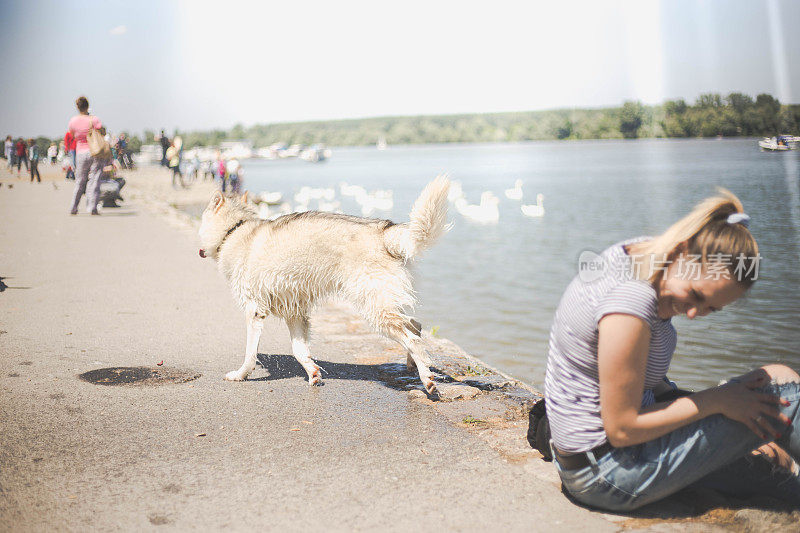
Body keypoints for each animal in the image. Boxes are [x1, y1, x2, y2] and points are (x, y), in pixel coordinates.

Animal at [198, 177, 450, 396]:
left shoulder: (254, 311)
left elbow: (250, 354)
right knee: (415, 325)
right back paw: (414, 365)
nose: (199, 247)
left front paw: (241, 375)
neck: (235, 229)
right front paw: (313, 373)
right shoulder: (295, 313)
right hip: (383, 304)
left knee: (413, 338)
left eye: (201, 221)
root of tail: (383, 230)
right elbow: (300, 351)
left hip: (375, 310)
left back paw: (427, 379)